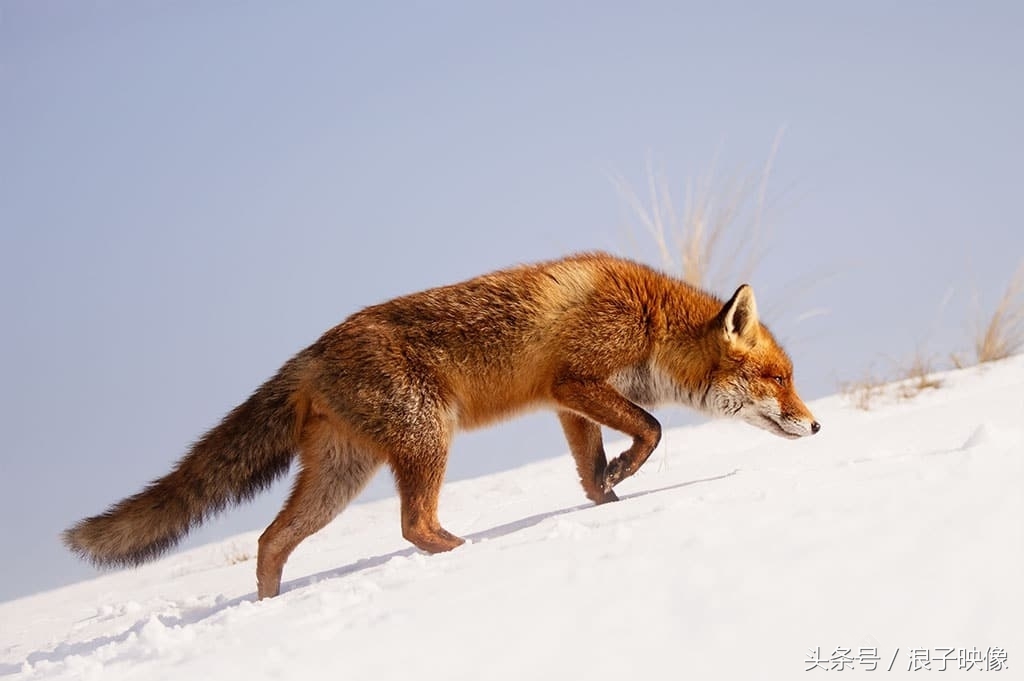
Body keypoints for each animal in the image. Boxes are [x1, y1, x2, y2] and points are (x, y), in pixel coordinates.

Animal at [61, 253, 815, 593]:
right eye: (780, 380)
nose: (815, 428)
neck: (649, 319)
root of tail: (312, 352)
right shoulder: (574, 381)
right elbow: (652, 428)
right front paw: (627, 474)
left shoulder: (567, 402)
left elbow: (593, 474)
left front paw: (611, 502)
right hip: (428, 437)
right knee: (413, 526)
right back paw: (470, 552)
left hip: (340, 477)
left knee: (272, 541)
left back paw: (267, 608)